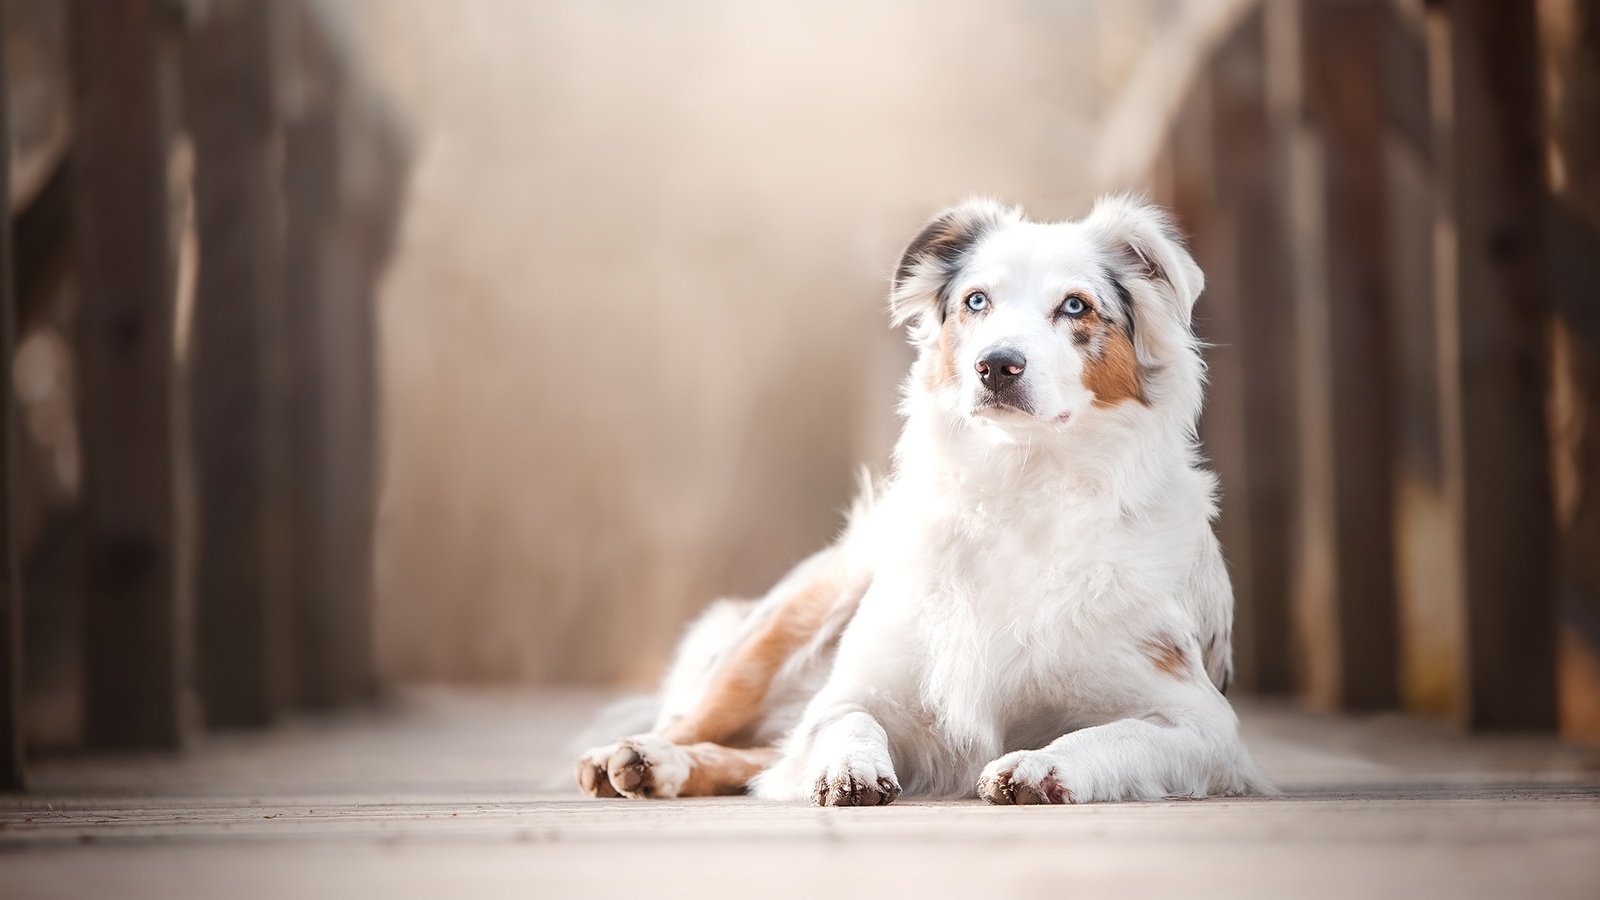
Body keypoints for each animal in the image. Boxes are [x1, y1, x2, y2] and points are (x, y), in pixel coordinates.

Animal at [579, 192, 1273, 800]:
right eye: (976, 300)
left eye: (1075, 306)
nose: (996, 364)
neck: (1020, 486)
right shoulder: (856, 688)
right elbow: (845, 718)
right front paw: (849, 767)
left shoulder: (1202, 722)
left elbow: (1114, 735)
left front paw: (1041, 765)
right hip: (782, 625)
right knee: (699, 722)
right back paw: (642, 756)